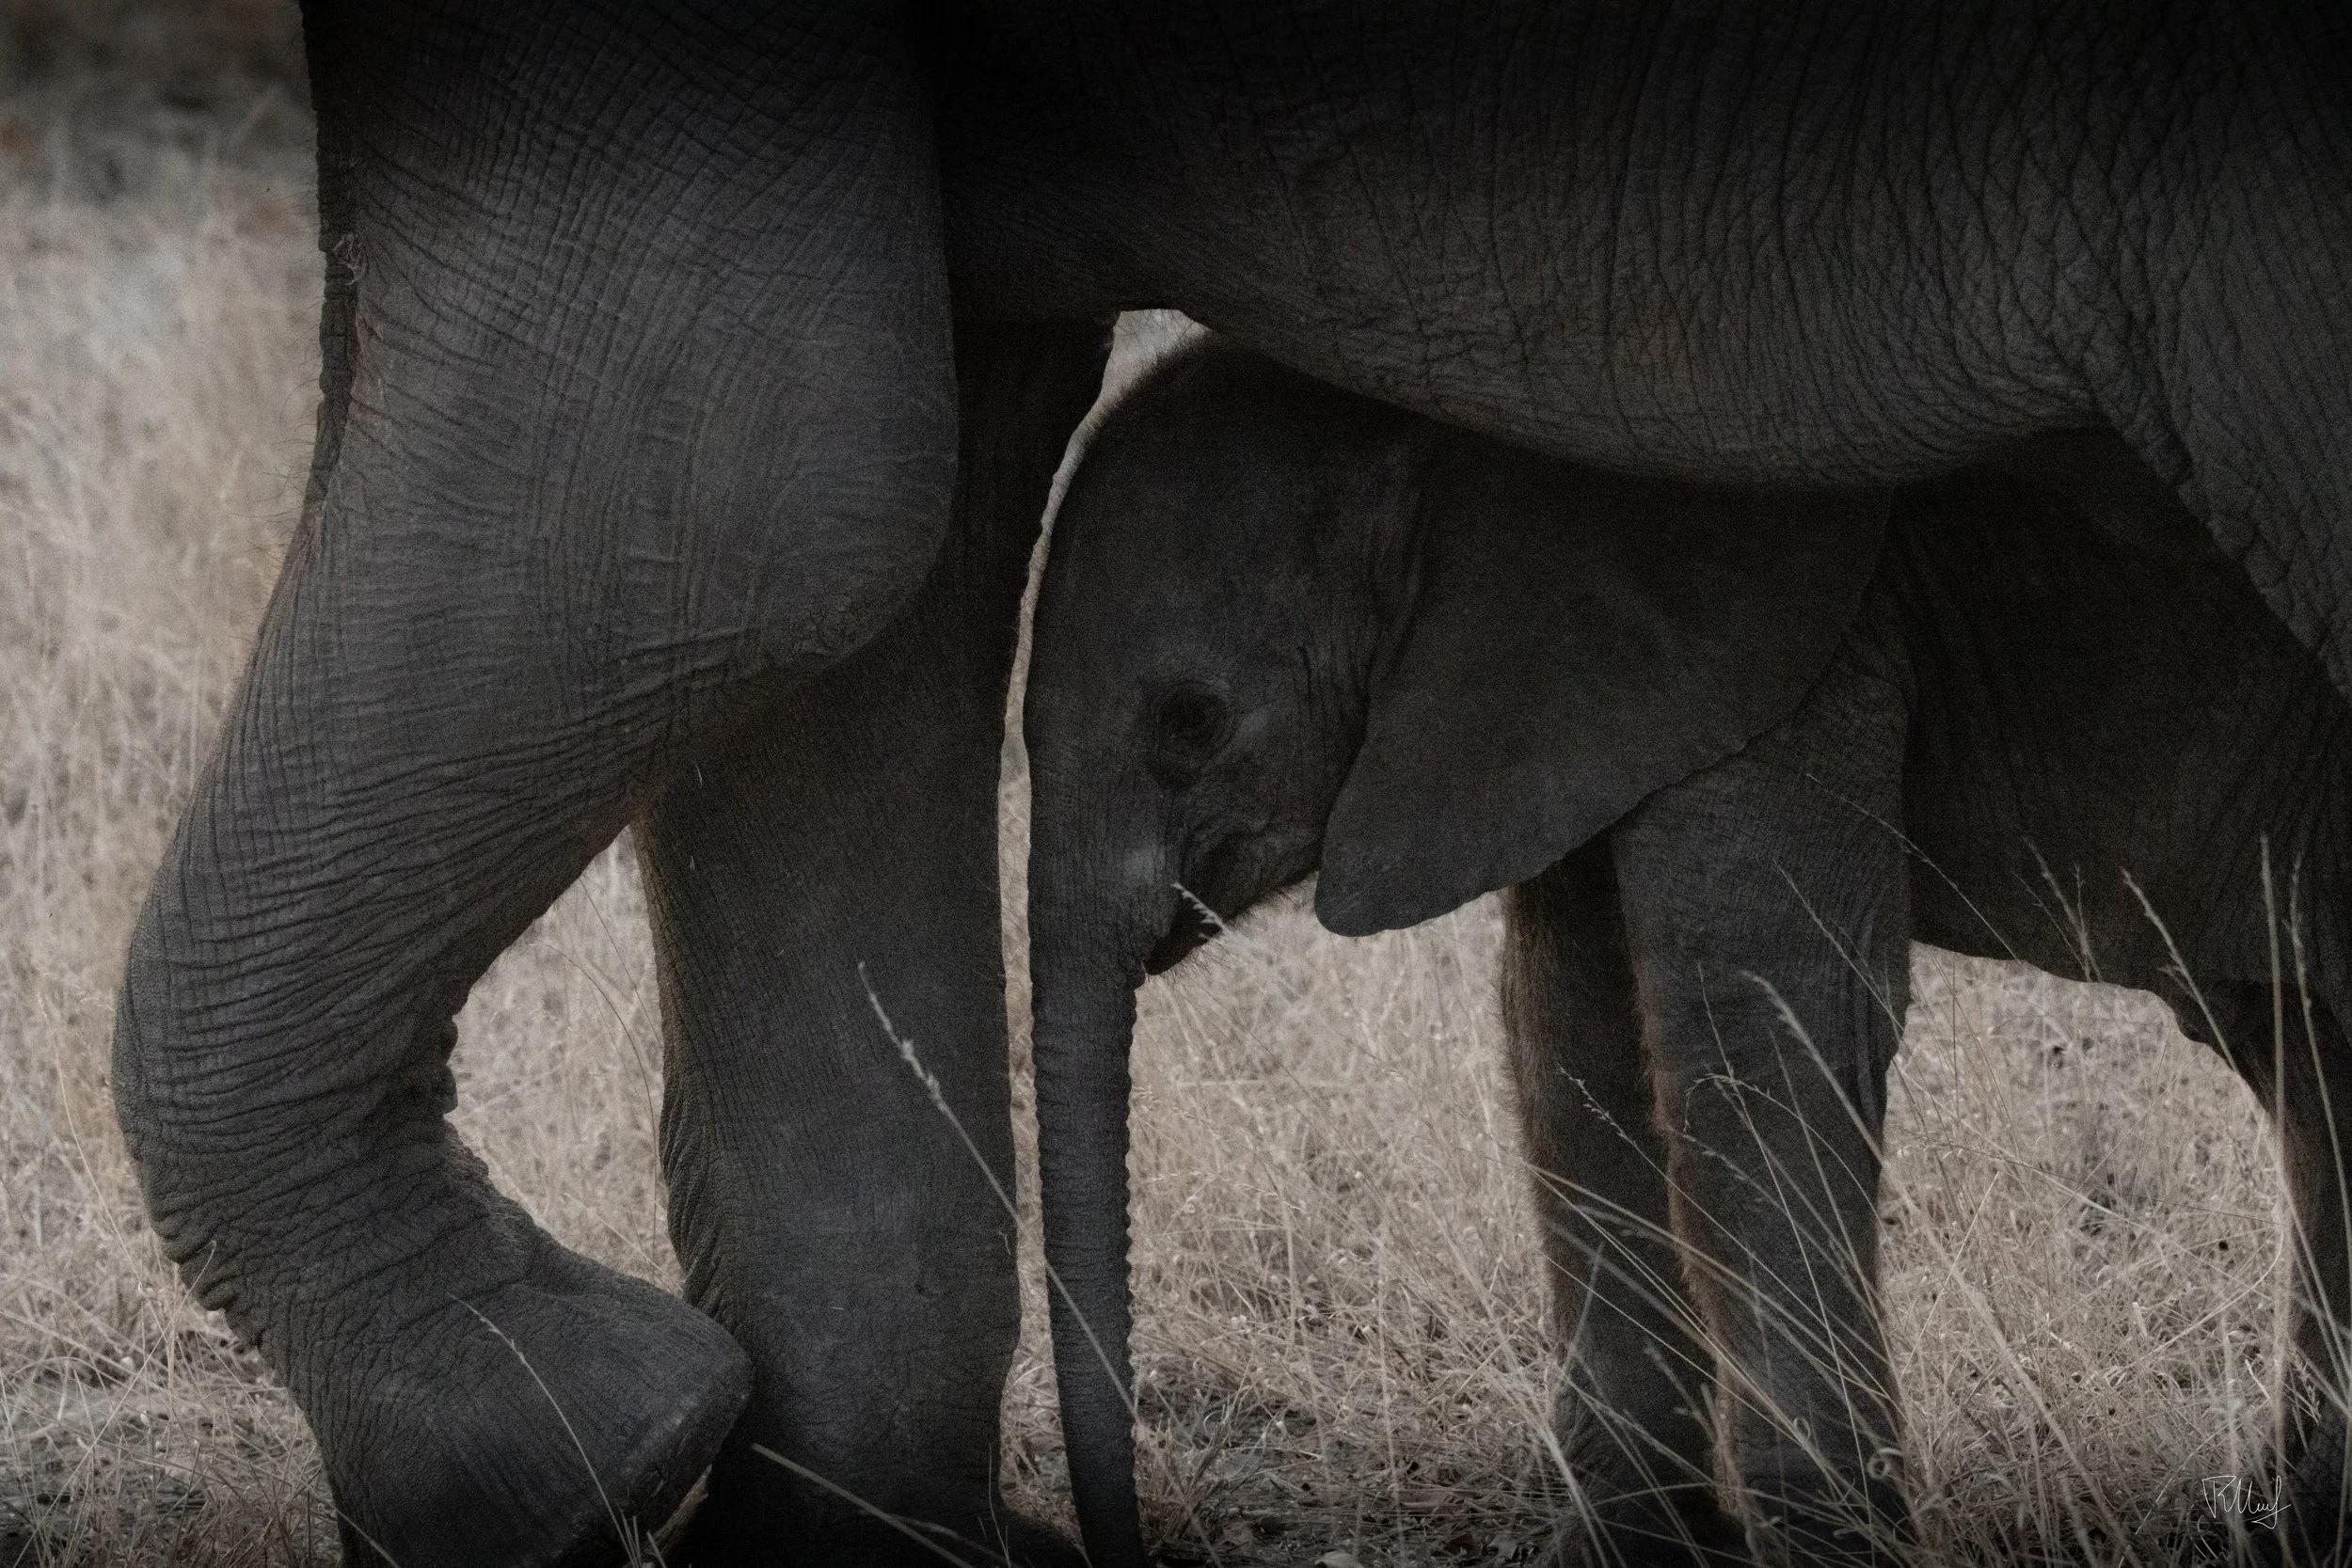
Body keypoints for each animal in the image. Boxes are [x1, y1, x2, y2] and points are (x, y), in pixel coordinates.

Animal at [1021, 337, 2352, 1565]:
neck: (1450, 436)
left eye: (1191, 721)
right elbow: (1573, 1020)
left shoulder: (1779, 645)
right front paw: (1649, 1539)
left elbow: (1754, 1012)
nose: (1126, 1530)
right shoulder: (1565, 706)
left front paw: (1827, 1545)